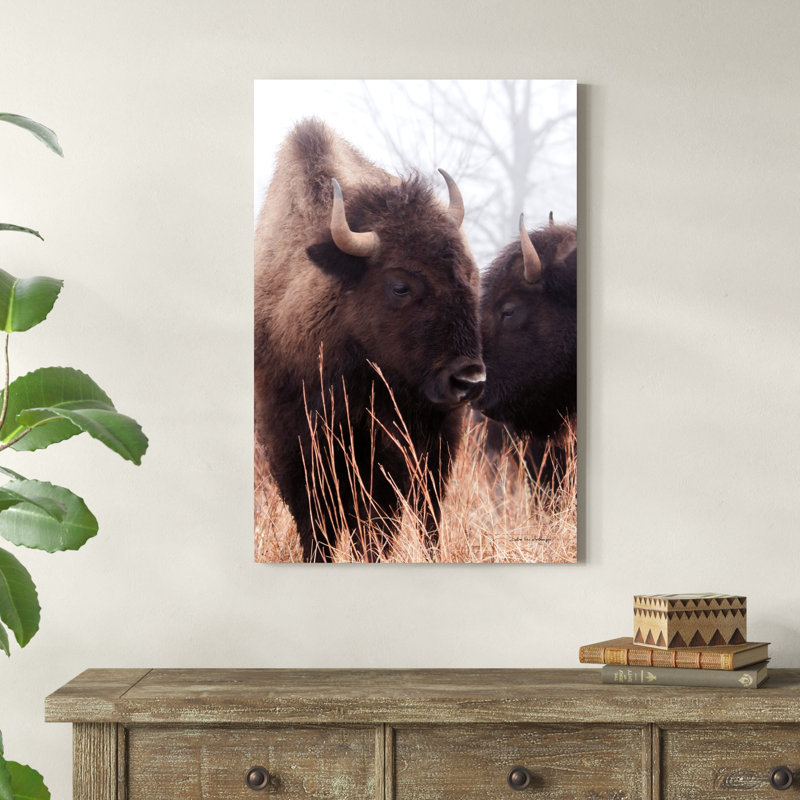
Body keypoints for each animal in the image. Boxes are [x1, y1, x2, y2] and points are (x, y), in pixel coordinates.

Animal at [254, 119, 485, 562]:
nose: (468, 380)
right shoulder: (291, 446)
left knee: (427, 516)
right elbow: (317, 526)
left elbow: (376, 526)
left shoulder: (389, 454)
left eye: (470, 275)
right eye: (400, 285)